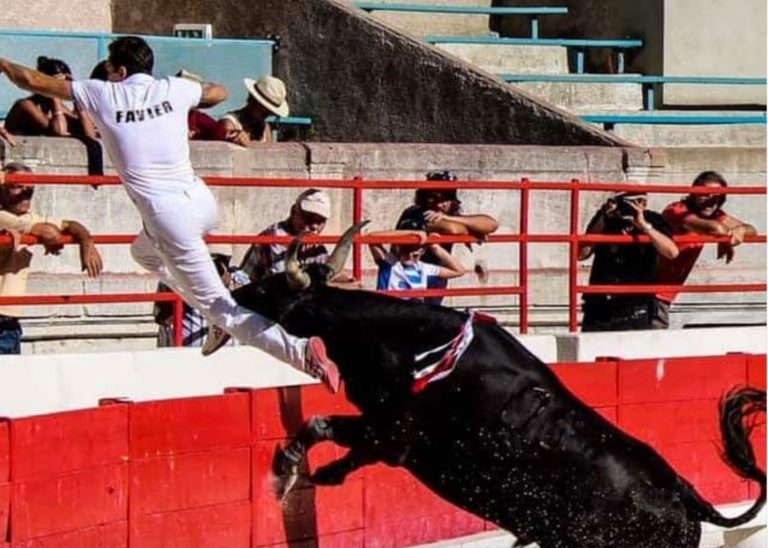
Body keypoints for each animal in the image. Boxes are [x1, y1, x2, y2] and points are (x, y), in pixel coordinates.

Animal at [231, 225, 764, 544]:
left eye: (269, 287)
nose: (234, 288)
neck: (414, 344)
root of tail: (685, 495)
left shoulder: (395, 433)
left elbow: (324, 425)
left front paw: (288, 470)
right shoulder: (385, 433)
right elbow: (345, 444)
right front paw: (321, 474)